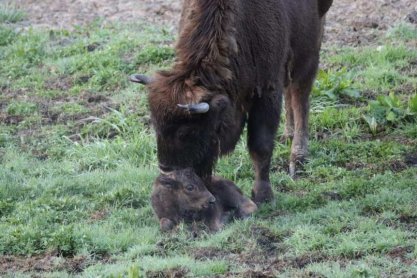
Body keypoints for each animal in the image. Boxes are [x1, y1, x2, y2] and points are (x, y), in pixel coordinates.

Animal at [132, 0, 334, 204]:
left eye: (188, 131)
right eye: (156, 126)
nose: (166, 169)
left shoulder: (267, 91)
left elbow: (260, 146)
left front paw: (263, 195)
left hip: (307, 50)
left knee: (300, 95)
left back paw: (298, 158)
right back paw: (287, 135)